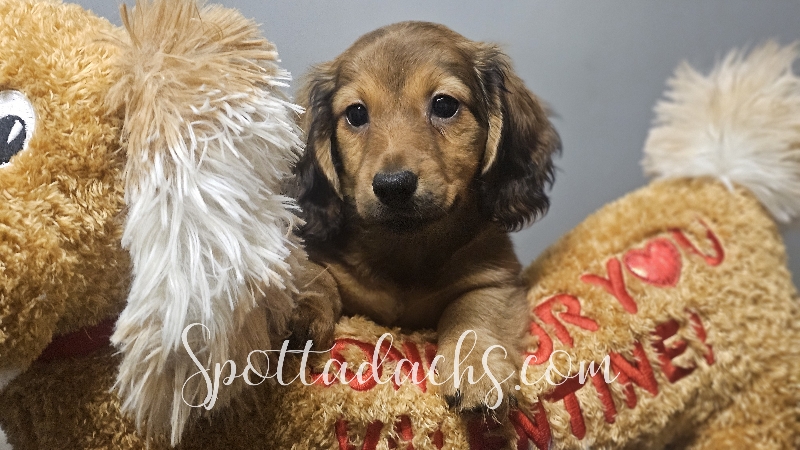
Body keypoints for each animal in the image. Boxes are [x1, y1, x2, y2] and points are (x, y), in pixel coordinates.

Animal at [292, 21, 561, 414]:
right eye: (356, 114)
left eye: (444, 105)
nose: (393, 186)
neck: (406, 246)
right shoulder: (316, 254)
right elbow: (316, 277)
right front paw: (298, 311)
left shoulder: (494, 280)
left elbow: (472, 316)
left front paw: (475, 369)